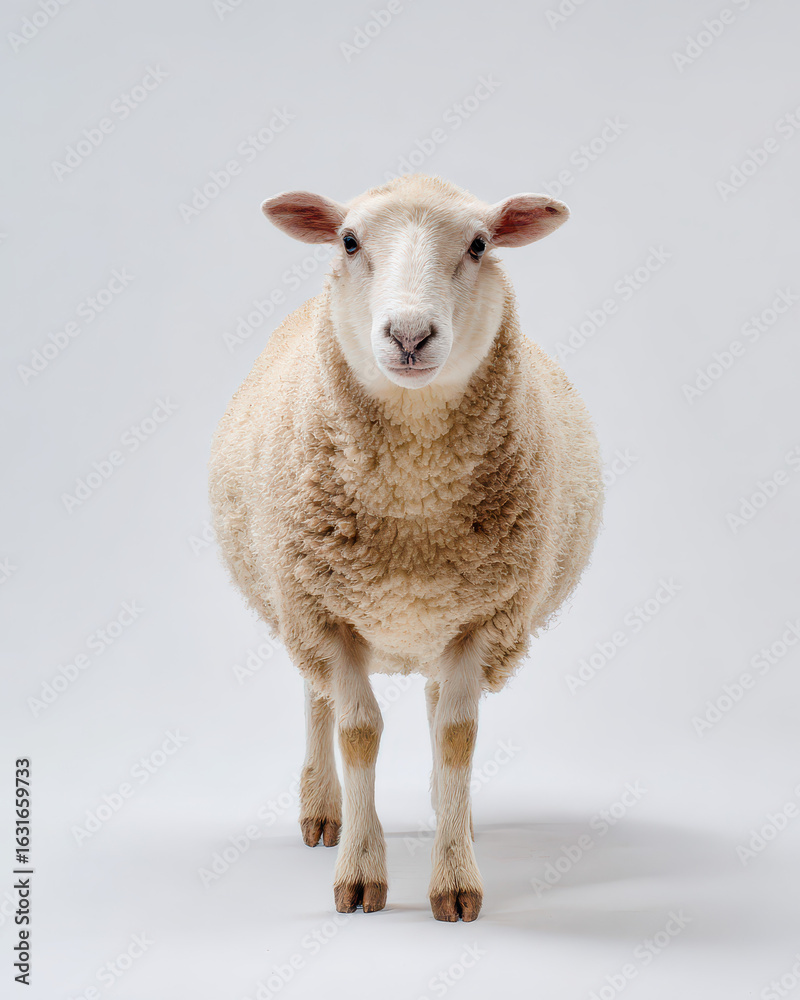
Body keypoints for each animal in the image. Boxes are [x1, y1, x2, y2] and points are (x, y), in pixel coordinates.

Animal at [208, 173, 603, 922]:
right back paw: (321, 811)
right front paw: (360, 874)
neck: (414, 507)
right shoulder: (324, 612)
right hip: (297, 606)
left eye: (478, 244)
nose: (410, 334)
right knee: (319, 700)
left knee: (437, 706)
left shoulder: (483, 618)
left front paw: (455, 879)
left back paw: (457, 816)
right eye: (348, 241)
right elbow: (357, 731)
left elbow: (456, 736)